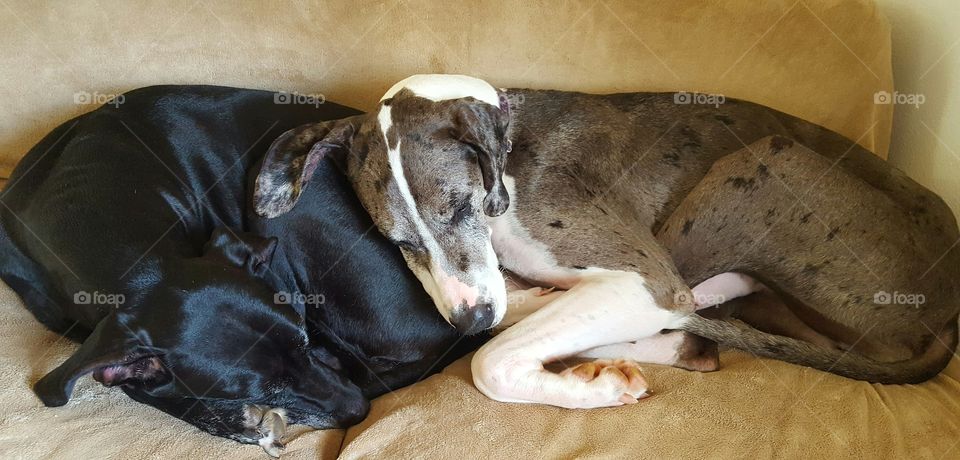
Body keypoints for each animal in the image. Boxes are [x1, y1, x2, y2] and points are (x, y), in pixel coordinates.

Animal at [255, 75, 960, 410]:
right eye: (398, 241)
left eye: (460, 206)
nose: (469, 320)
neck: (507, 161)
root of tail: (944, 312)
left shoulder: (643, 279)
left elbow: (491, 361)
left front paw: (591, 390)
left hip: (762, 162)